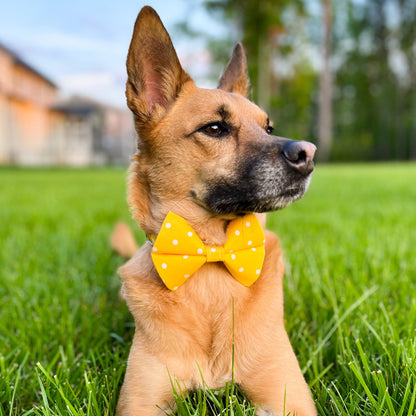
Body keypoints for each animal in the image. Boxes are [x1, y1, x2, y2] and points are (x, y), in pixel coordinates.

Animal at [112, 6, 316, 416]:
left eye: (268, 127)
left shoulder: (289, 397)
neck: (209, 255)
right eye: (215, 128)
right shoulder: (140, 401)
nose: (309, 155)